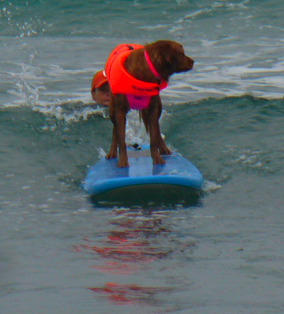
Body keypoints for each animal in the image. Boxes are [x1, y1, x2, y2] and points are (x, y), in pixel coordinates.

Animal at [104, 40, 195, 168]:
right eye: (182, 53)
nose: (193, 61)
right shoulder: (120, 110)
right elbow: (121, 139)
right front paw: (122, 161)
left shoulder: (152, 108)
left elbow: (153, 136)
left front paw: (157, 158)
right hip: (112, 108)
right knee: (115, 130)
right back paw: (112, 152)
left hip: (159, 106)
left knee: (157, 129)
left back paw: (163, 148)